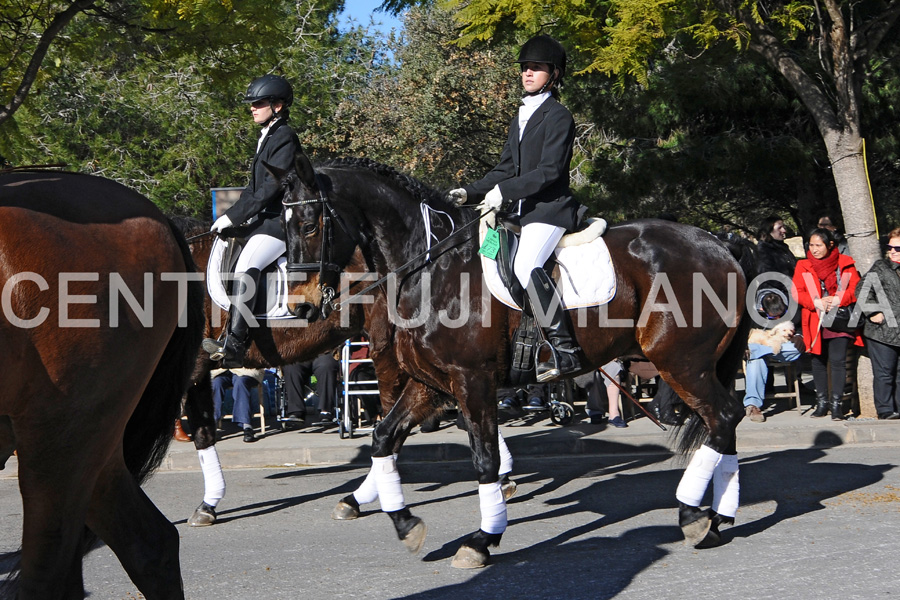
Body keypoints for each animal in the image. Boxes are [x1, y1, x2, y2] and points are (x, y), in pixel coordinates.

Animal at [280, 155, 752, 568]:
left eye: (308, 224)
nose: (300, 307)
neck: (433, 270)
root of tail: (720, 243)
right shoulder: (431, 384)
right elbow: (383, 439)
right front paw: (405, 523)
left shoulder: (472, 380)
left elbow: (485, 459)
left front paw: (481, 540)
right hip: (699, 365)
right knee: (724, 422)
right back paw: (718, 517)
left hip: (682, 361)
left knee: (724, 416)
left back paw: (692, 516)